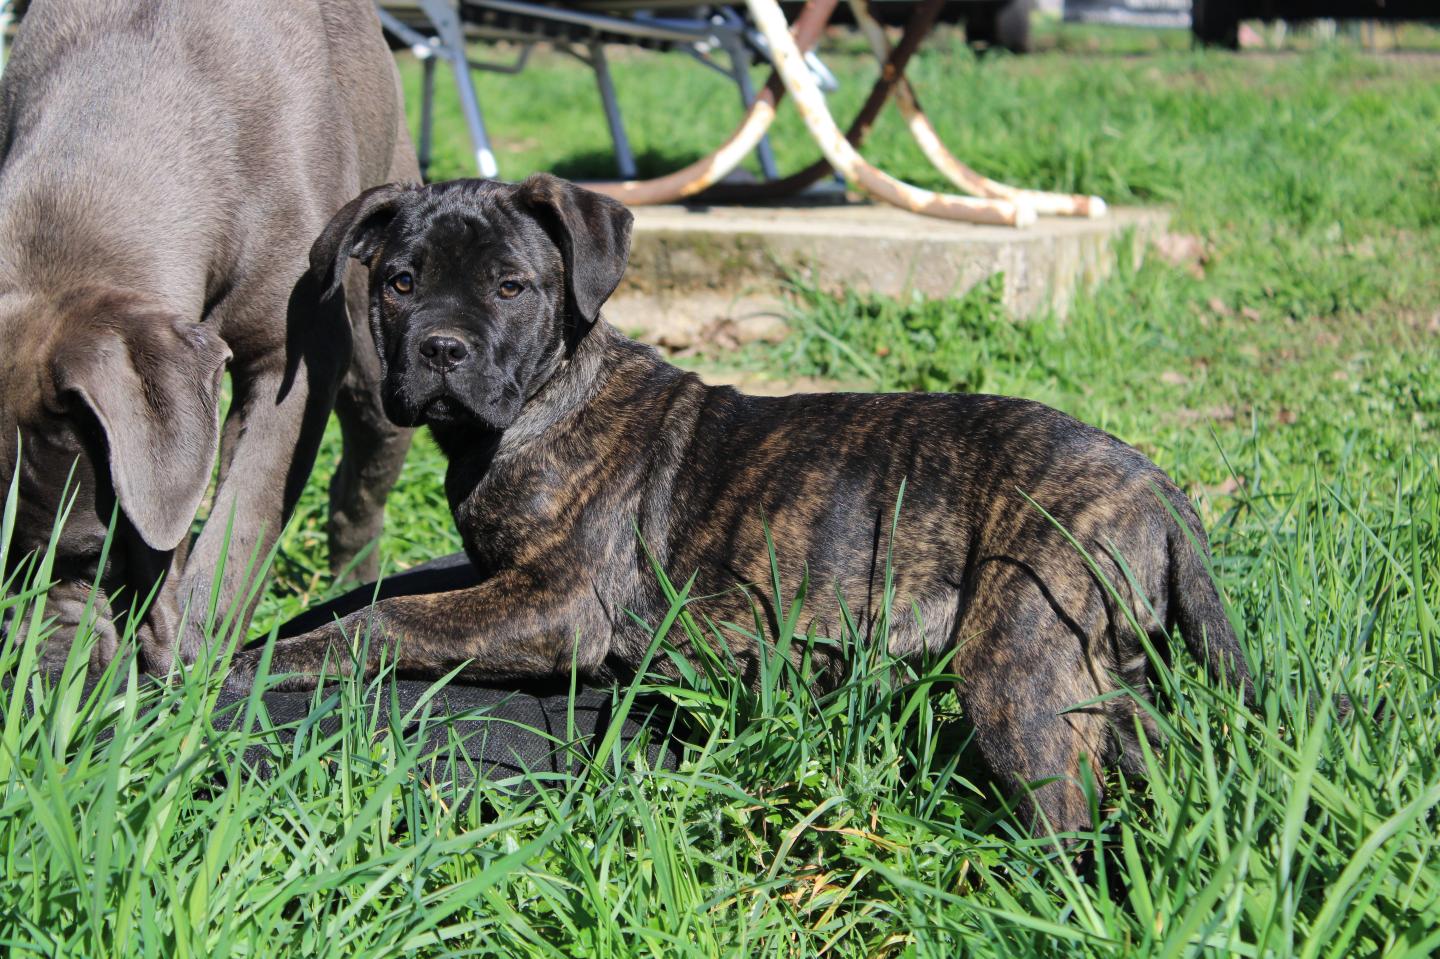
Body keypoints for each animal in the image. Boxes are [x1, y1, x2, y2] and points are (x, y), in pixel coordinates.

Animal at [230, 175, 1255, 835]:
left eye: (510, 287)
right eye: (399, 282)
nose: (440, 348)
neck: (539, 401)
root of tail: (1158, 487)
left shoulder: (554, 604)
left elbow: (388, 619)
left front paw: (258, 662)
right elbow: (391, 599)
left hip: (1018, 666)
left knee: (1066, 817)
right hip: (1094, 668)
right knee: (1147, 745)